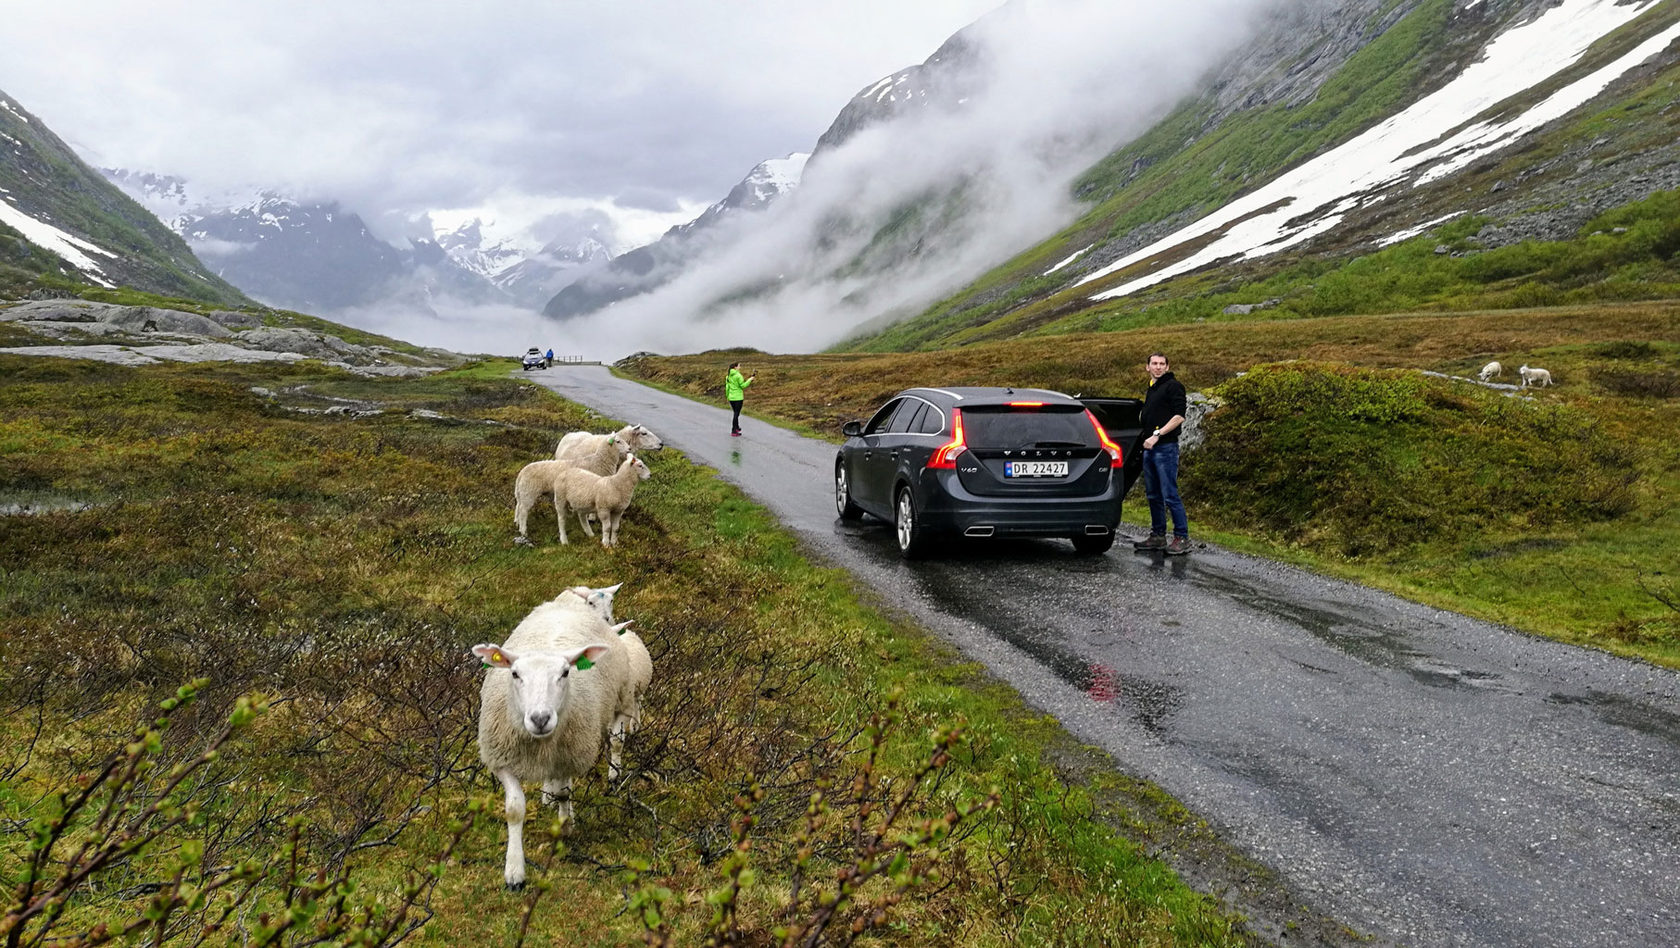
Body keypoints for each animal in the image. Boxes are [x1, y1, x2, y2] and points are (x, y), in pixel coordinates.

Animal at [470, 591, 631, 887]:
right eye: (515, 674)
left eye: (565, 673)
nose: (540, 718)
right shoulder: (501, 757)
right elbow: (514, 809)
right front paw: (514, 871)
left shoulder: (568, 754)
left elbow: (565, 793)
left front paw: (564, 828)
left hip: (620, 698)